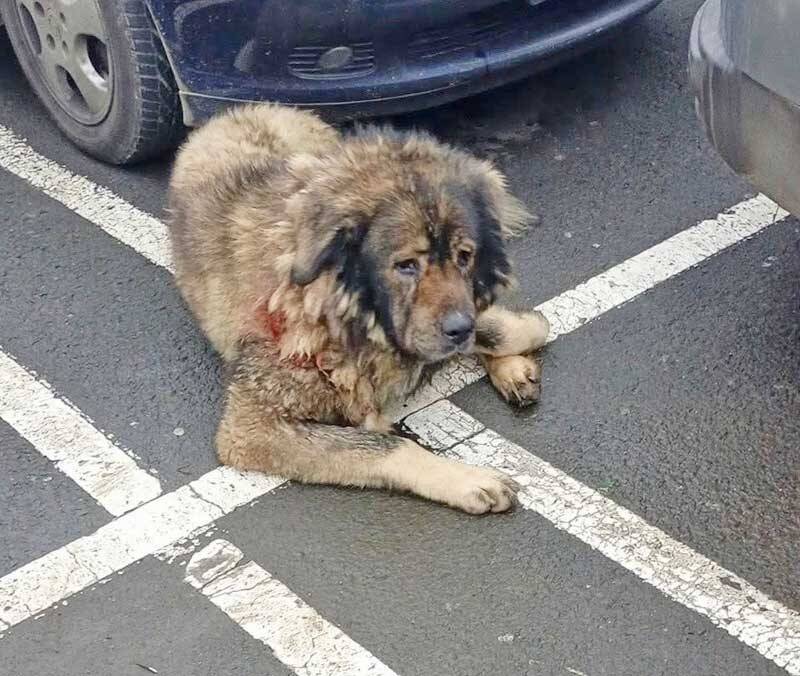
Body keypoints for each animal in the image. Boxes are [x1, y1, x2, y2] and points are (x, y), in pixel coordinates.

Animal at [167, 104, 549, 514]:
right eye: (406, 265)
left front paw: (517, 340)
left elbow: (513, 327)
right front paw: (466, 480)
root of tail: (243, 109)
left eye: (464, 257)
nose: (459, 329)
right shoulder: (252, 428)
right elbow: (387, 445)